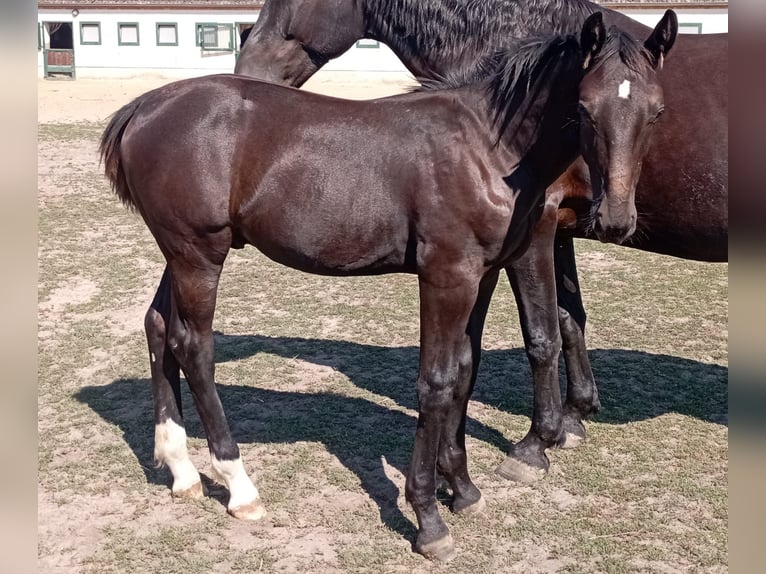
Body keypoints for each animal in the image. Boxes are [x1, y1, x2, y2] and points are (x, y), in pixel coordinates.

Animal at [101, 14, 676, 561]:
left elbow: (463, 372)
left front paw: (462, 488)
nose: (616, 219)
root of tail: (147, 106)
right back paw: (239, 486)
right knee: (193, 346)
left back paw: (182, 470)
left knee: (159, 328)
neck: (486, 147)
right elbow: (436, 382)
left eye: (657, 112)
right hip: (199, 255)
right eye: (584, 108)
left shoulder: (482, 275)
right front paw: (428, 519)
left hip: (179, 255)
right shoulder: (446, 276)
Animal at [235, 0, 727, 481]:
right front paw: (572, 419)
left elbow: (541, 334)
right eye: (583, 110)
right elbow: (565, 322)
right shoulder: (552, 232)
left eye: (658, 114)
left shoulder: (537, 229)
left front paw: (534, 445)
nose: (246, 72)